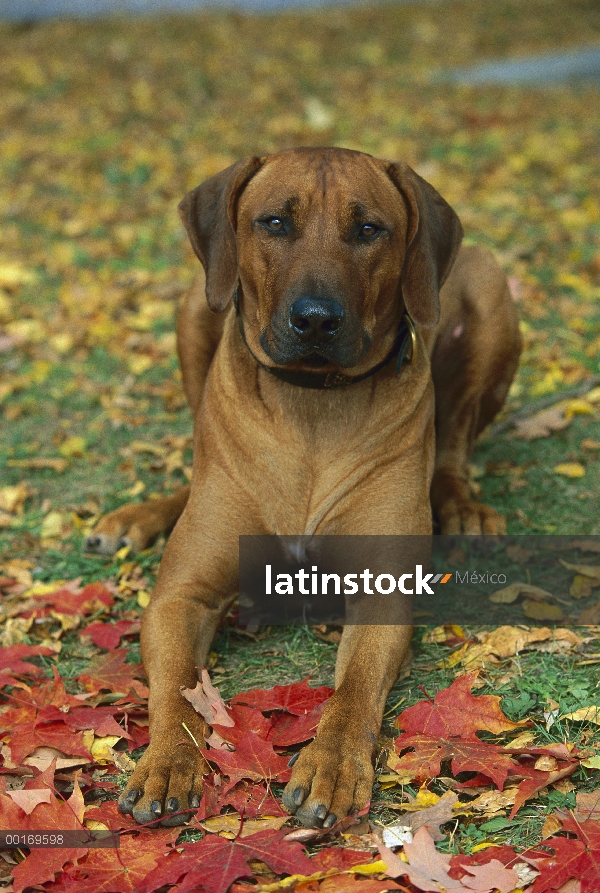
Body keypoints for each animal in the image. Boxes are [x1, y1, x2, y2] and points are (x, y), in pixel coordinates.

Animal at [84, 143, 520, 824]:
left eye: (368, 229)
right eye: (274, 223)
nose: (316, 319)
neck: (311, 406)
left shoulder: (383, 594)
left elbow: (353, 693)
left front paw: (332, 766)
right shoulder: (180, 597)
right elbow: (176, 692)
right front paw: (166, 763)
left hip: (491, 284)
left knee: (452, 447)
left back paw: (463, 507)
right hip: (195, 303)